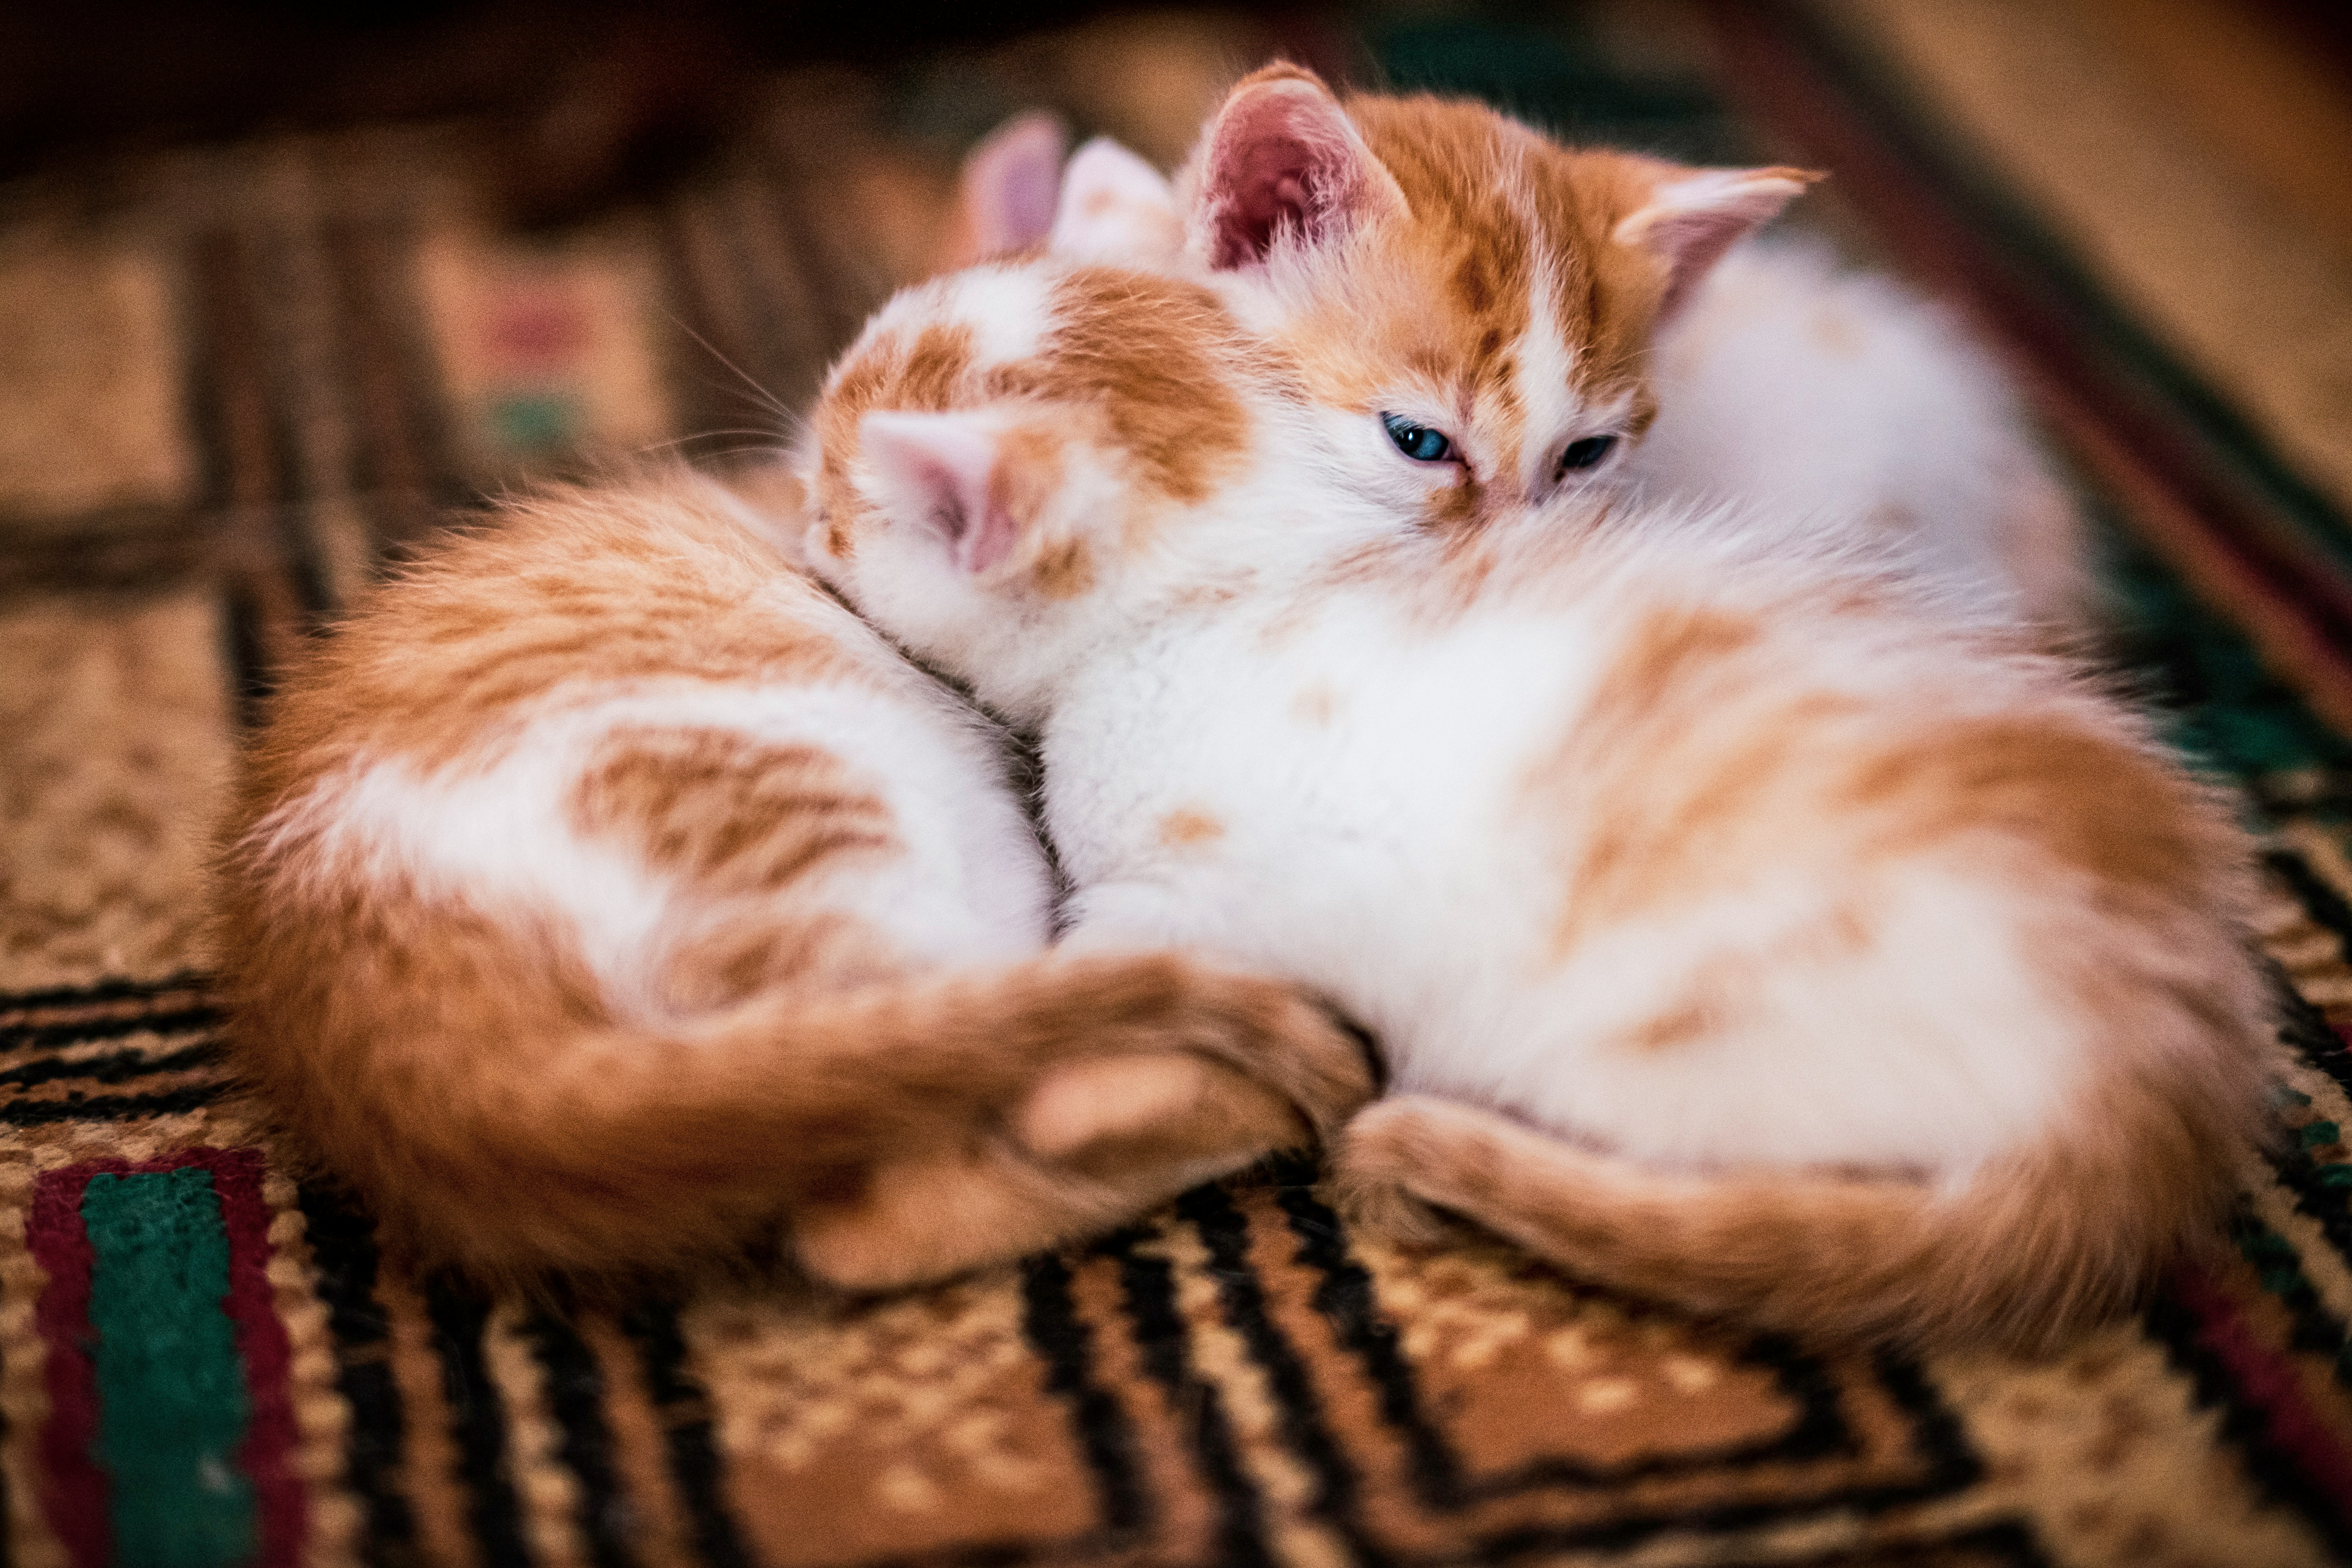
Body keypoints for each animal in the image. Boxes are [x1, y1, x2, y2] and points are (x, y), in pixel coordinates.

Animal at [799, 255, 2267, 1354]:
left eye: (837, 499)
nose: (801, 504)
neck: (1248, 571)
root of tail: (2162, 1088)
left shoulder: (1186, 896)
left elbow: (1110, 1009)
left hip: (1652, 1048)